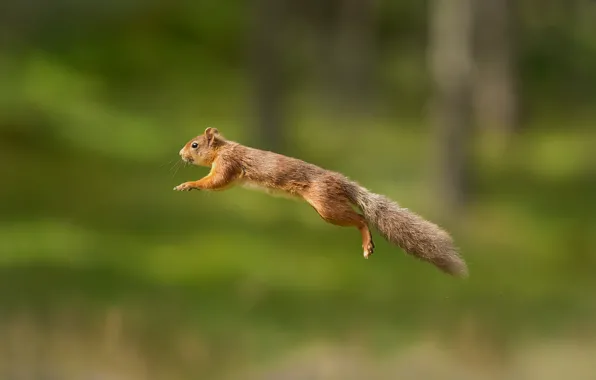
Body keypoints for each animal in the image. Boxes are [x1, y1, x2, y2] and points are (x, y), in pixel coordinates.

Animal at [175, 126, 468, 278]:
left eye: (195, 145)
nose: (180, 154)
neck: (223, 149)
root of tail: (341, 182)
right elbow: (221, 185)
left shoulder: (227, 165)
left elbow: (214, 182)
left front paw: (188, 184)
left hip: (326, 206)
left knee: (361, 218)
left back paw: (367, 242)